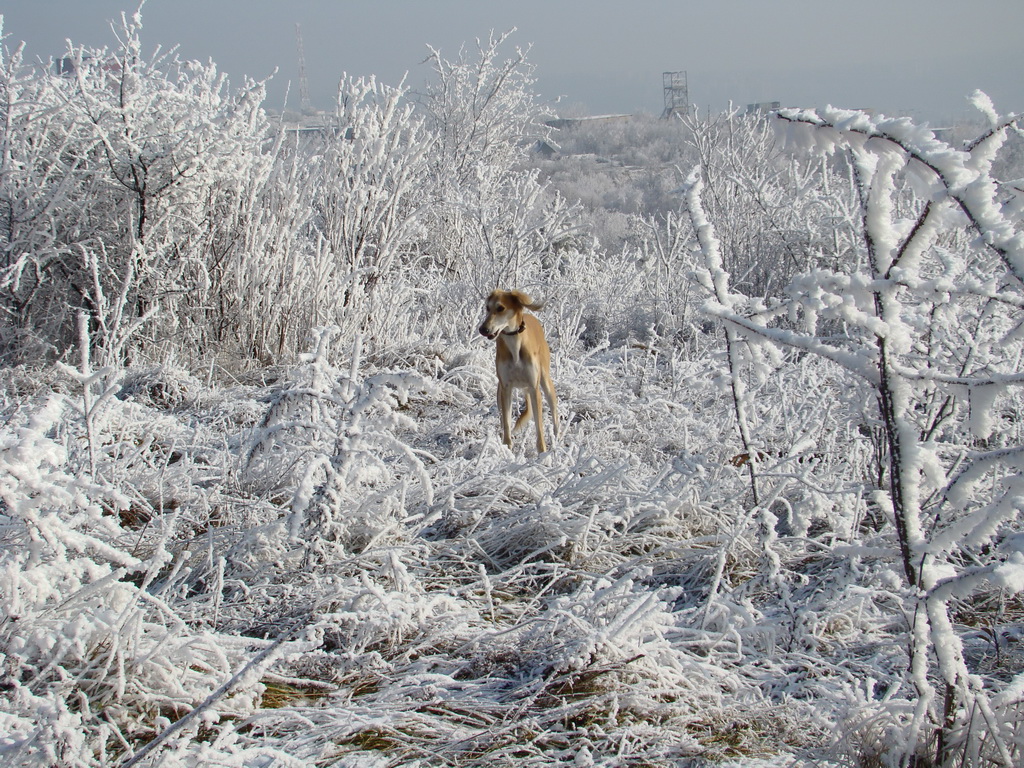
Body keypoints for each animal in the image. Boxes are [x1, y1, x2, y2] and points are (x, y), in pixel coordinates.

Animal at [477, 290, 561, 454]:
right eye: (487, 308)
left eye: (500, 308)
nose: (483, 329)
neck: (515, 344)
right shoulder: (506, 388)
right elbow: (507, 422)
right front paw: (507, 447)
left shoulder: (534, 388)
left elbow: (539, 426)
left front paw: (543, 453)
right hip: (499, 391)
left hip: (545, 381)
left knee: (554, 410)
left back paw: (557, 437)